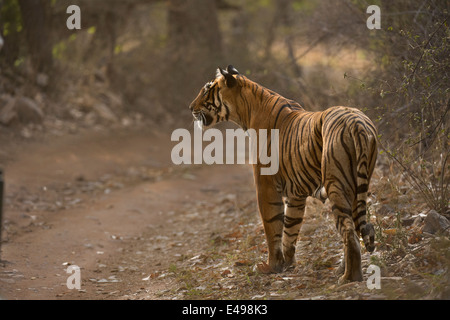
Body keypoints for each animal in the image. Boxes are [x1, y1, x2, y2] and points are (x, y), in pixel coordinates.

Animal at [188, 65, 378, 282]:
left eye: (206, 89)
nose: (190, 107)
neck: (247, 110)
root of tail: (357, 123)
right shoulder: (296, 194)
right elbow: (291, 228)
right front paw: (287, 263)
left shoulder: (266, 185)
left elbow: (272, 226)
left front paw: (271, 266)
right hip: (357, 184)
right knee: (355, 227)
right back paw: (343, 270)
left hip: (337, 184)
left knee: (349, 231)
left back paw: (348, 278)